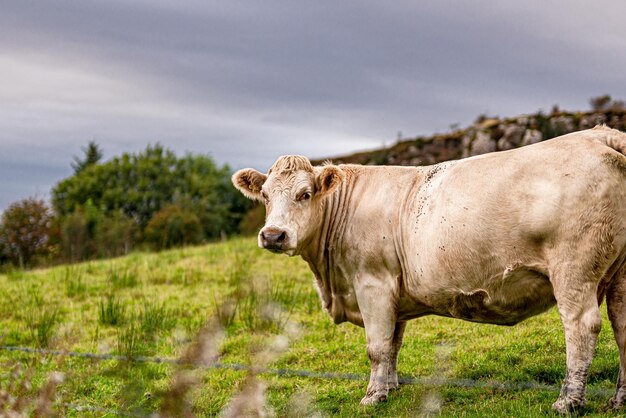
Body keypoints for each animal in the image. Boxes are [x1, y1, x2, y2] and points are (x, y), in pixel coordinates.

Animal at [232, 125, 624, 412]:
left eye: (305, 194)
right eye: (265, 196)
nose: (273, 234)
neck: (332, 281)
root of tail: (599, 134)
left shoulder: (372, 283)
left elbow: (377, 346)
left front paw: (371, 397)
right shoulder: (393, 291)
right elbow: (393, 343)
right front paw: (389, 388)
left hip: (573, 269)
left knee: (581, 327)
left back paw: (568, 402)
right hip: (619, 275)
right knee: (622, 327)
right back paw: (618, 399)